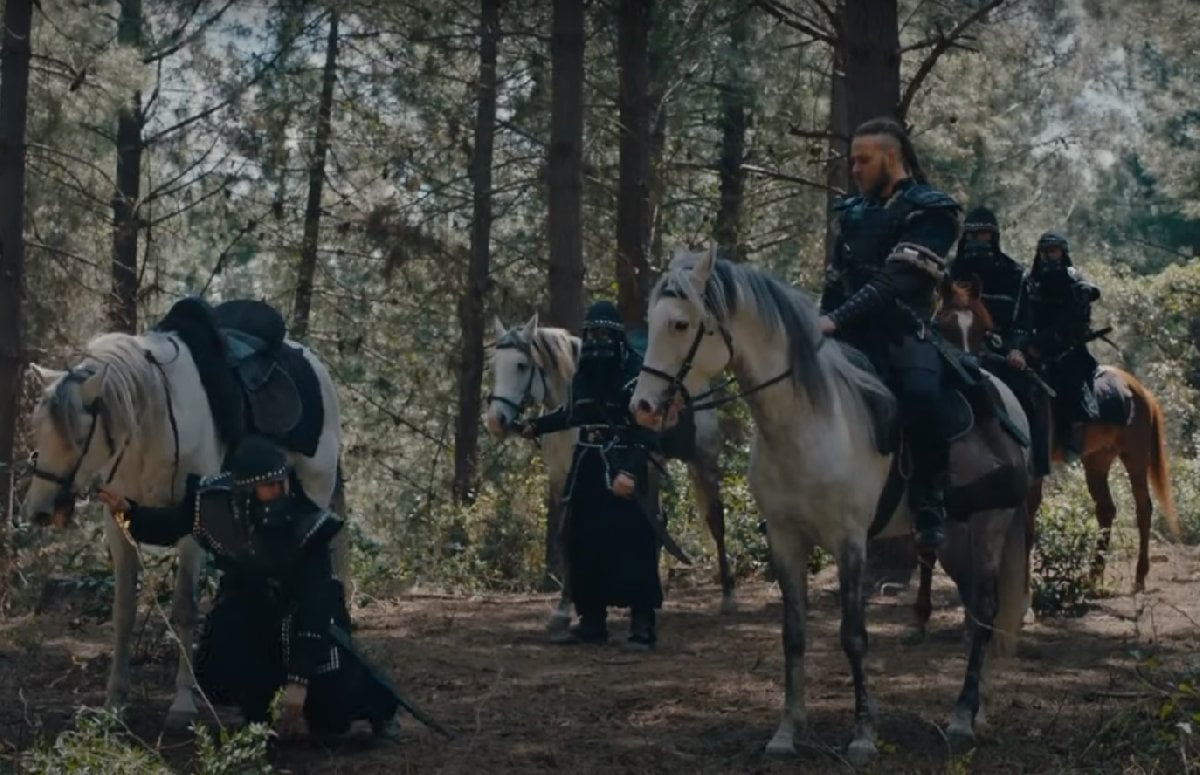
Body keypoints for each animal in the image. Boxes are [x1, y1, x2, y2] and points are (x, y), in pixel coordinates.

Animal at [21, 310, 343, 731]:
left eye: (79, 435)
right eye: (37, 428)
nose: (40, 510)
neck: (153, 424)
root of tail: (315, 365)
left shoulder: (193, 524)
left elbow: (185, 610)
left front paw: (183, 704)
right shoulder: (119, 522)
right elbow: (123, 611)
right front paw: (114, 702)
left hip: (315, 488)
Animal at [483, 313, 737, 632]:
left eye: (521, 365)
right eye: (494, 365)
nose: (496, 421)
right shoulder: (561, 478)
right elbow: (566, 537)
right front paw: (564, 610)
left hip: (701, 460)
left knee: (715, 520)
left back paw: (728, 595)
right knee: (656, 519)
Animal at [630, 248, 1030, 761]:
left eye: (680, 324)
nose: (642, 407)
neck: (809, 424)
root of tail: (1006, 399)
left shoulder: (850, 543)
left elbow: (853, 636)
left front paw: (862, 735)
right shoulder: (785, 539)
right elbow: (794, 634)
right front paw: (786, 731)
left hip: (991, 527)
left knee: (982, 613)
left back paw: (962, 718)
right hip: (956, 538)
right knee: (980, 610)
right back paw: (977, 708)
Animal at [937, 276, 1180, 593]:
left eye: (980, 331)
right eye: (942, 325)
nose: (966, 367)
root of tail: (1142, 391)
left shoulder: (1034, 472)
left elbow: (1026, 521)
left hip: (1135, 457)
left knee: (1143, 508)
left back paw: (1139, 577)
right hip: (1097, 460)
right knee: (1106, 509)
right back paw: (1093, 577)